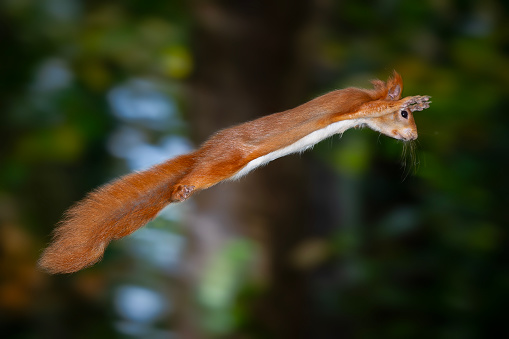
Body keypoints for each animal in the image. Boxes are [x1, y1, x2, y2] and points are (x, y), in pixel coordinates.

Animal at [39, 71, 428, 274]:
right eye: (405, 117)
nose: (414, 137)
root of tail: (203, 152)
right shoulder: (354, 106)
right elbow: (373, 108)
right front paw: (412, 99)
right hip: (226, 160)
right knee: (195, 176)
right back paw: (181, 188)